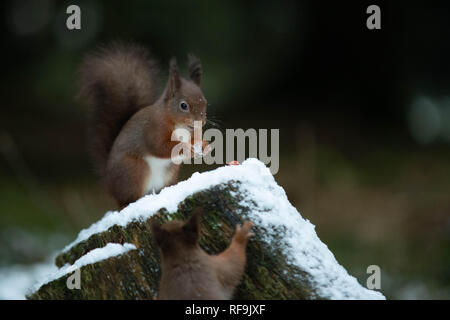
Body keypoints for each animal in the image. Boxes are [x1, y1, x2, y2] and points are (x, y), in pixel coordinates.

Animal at [78, 43, 209, 208]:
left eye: (205, 102)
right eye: (183, 105)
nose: (201, 122)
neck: (179, 125)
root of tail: (109, 184)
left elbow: (193, 141)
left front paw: (204, 146)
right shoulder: (153, 129)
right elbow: (159, 147)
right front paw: (185, 148)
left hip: (169, 173)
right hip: (134, 170)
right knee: (127, 200)